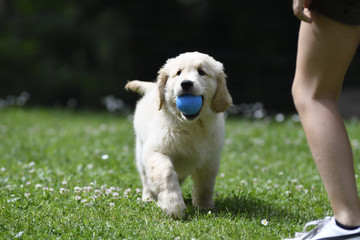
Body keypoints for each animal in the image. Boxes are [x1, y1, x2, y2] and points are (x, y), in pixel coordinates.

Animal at [125, 51, 232, 218]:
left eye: (202, 72)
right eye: (178, 73)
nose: (186, 83)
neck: (191, 125)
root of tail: (152, 88)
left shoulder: (210, 160)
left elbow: (206, 185)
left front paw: (204, 206)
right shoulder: (156, 151)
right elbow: (166, 174)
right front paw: (173, 205)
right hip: (140, 152)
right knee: (146, 179)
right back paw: (149, 197)